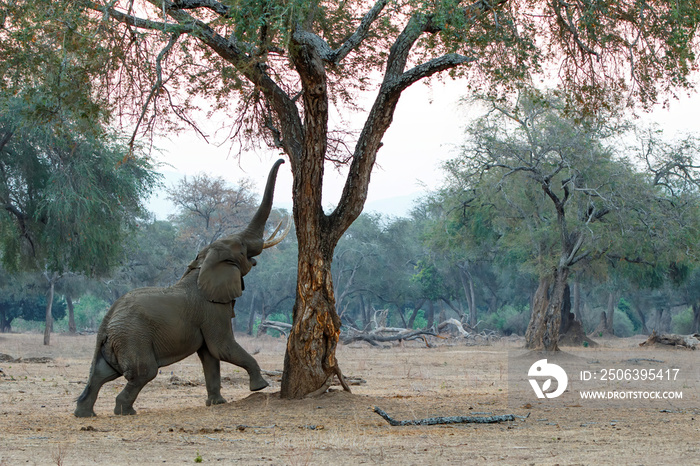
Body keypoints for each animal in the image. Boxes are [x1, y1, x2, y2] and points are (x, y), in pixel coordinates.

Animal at [73, 158, 288, 416]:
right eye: (242, 249)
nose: (283, 160)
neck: (202, 265)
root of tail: (106, 321)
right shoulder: (212, 310)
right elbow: (222, 347)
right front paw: (260, 387)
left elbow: (210, 356)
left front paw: (217, 403)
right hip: (133, 337)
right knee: (143, 372)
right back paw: (125, 411)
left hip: (115, 341)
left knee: (100, 374)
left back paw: (85, 414)